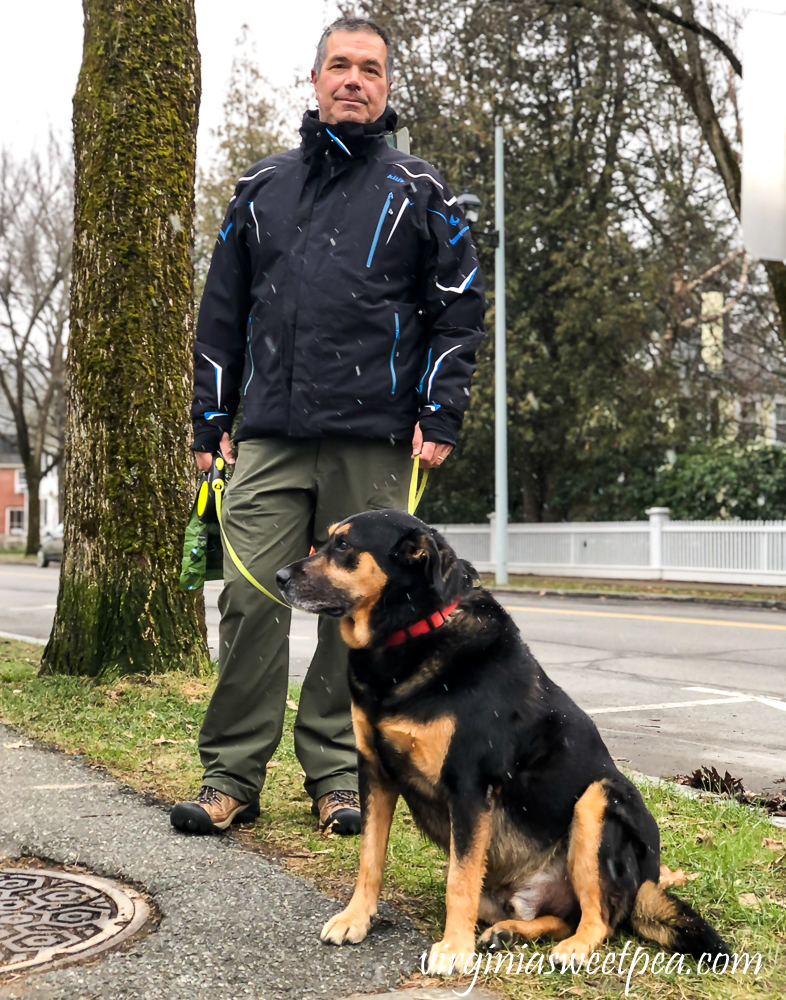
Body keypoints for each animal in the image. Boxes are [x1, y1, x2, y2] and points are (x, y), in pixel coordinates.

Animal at [276, 512, 728, 972]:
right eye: (326, 540)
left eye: (344, 546)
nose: (278, 577)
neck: (410, 634)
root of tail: (644, 884)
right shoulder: (375, 773)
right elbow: (370, 858)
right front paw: (356, 918)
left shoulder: (470, 786)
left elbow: (458, 882)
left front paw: (454, 949)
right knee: (561, 916)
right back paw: (510, 932)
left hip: (599, 799)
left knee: (600, 917)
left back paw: (574, 947)